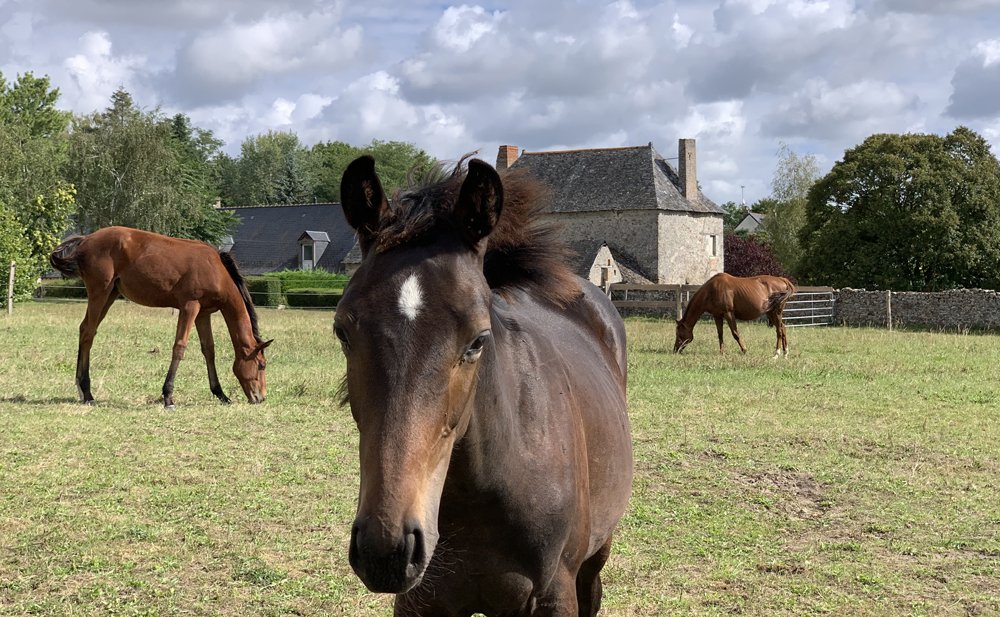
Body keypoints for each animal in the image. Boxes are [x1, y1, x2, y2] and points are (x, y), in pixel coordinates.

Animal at [49, 226, 272, 408]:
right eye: (262, 365)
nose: (260, 397)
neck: (216, 270)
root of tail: (86, 239)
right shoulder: (190, 307)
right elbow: (179, 347)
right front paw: (168, 397)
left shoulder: (203, 313)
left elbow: (209, 350)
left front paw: (221, 394)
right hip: (99, 292)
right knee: (88, 332)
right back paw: (87, 393)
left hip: (110, 294)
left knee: (86, 329)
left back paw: (82, 390)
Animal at [335, 155, 633, 616]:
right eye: (342, 332)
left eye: (477, 340)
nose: (386, 549)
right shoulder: (420, 601)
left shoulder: (554, 595)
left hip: (596, 554)